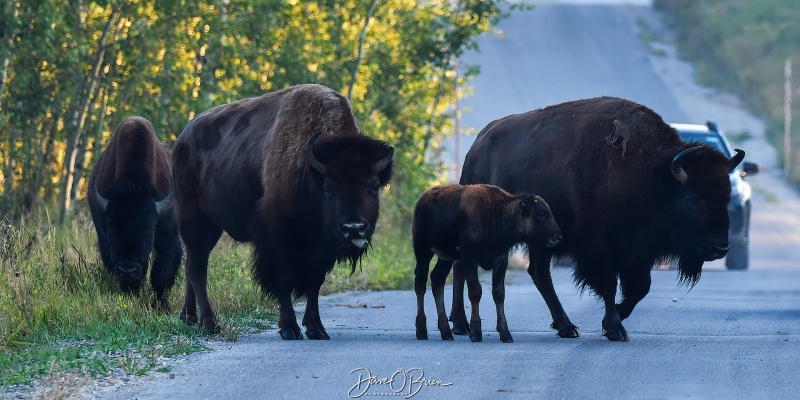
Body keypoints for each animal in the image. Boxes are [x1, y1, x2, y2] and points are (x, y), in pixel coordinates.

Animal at [87, 116, 183, 310]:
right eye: (111, 226)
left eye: (149, 228)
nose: (127, 270)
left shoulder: (169, 233)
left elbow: (163, 272)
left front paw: (161, 307)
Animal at [173, 83, 394, 338]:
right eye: (328, 188)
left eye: (375, 186)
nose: (354, 227)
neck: (309, 173)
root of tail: (181, 140)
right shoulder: (278, 238)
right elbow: (285, 280)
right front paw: (289, 328)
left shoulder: (321, 249)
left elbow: (315, 283)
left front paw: (316, 329)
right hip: (194, 220)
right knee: (197, 268)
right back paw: (209, 324)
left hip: (211, 227)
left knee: (192, 265)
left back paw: (188, 317)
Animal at [412, 183, 564, 342]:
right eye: (541, 213)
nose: (558, 236)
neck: (497, 214)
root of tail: (423, 198)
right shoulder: (470, 260)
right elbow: (475, 292)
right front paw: (475, 331)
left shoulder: (501, 261)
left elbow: (499, 294)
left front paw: (505, 333)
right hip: (422, 250)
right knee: (420, 283)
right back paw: (422, 331)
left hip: (446, 258)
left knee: (437, 280)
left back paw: (446, 332)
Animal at [450, 97, 744, 340]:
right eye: (692, 199)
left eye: (727, 194)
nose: (720, 247)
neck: (650, 174)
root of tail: (477, 146)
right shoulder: (597, 244)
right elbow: (608, 283)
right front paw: (615, 328)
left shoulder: (638, 250)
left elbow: (640, 287)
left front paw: (613, 320)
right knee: (462, 266)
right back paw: (461, 324)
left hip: (542, 239)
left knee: (539, 274)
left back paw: (566, 326)